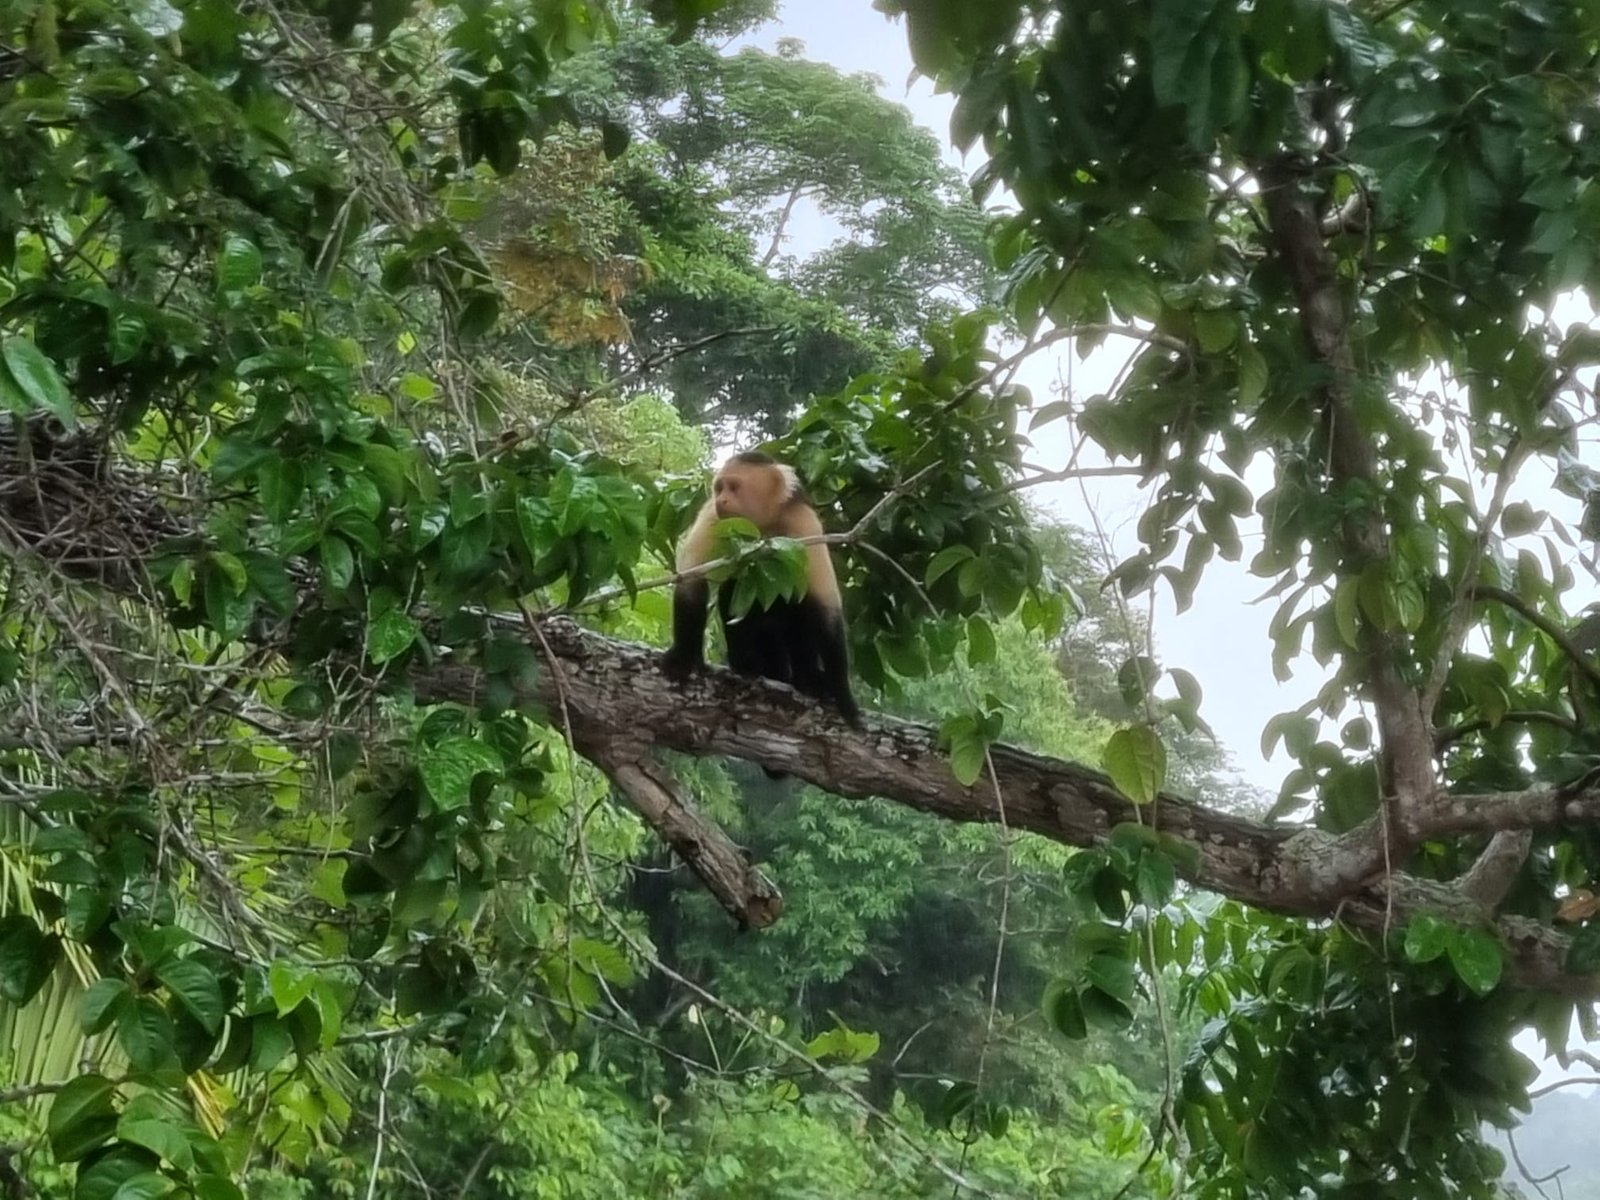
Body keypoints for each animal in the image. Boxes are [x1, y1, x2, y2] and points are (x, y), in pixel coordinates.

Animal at [660, 451, 862, 755]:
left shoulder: (803, 523)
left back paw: (807, 677)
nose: (721, 500)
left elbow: (826, 606)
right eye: (719, 489)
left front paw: (842, 693)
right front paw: (684, 655)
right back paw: (749, 663)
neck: (763, 526)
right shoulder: (715, 518)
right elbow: (692, 581)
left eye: (733, 487)